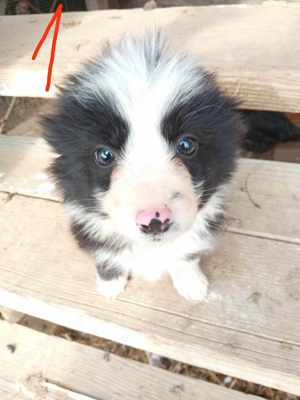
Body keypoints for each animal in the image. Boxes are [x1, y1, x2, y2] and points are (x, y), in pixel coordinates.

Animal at [42, 32, 244, 300]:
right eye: (104, 154)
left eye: (186, 145)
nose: (155, 220)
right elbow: (107, 255)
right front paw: (110, 284)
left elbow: (187, 253)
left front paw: (192, 284)